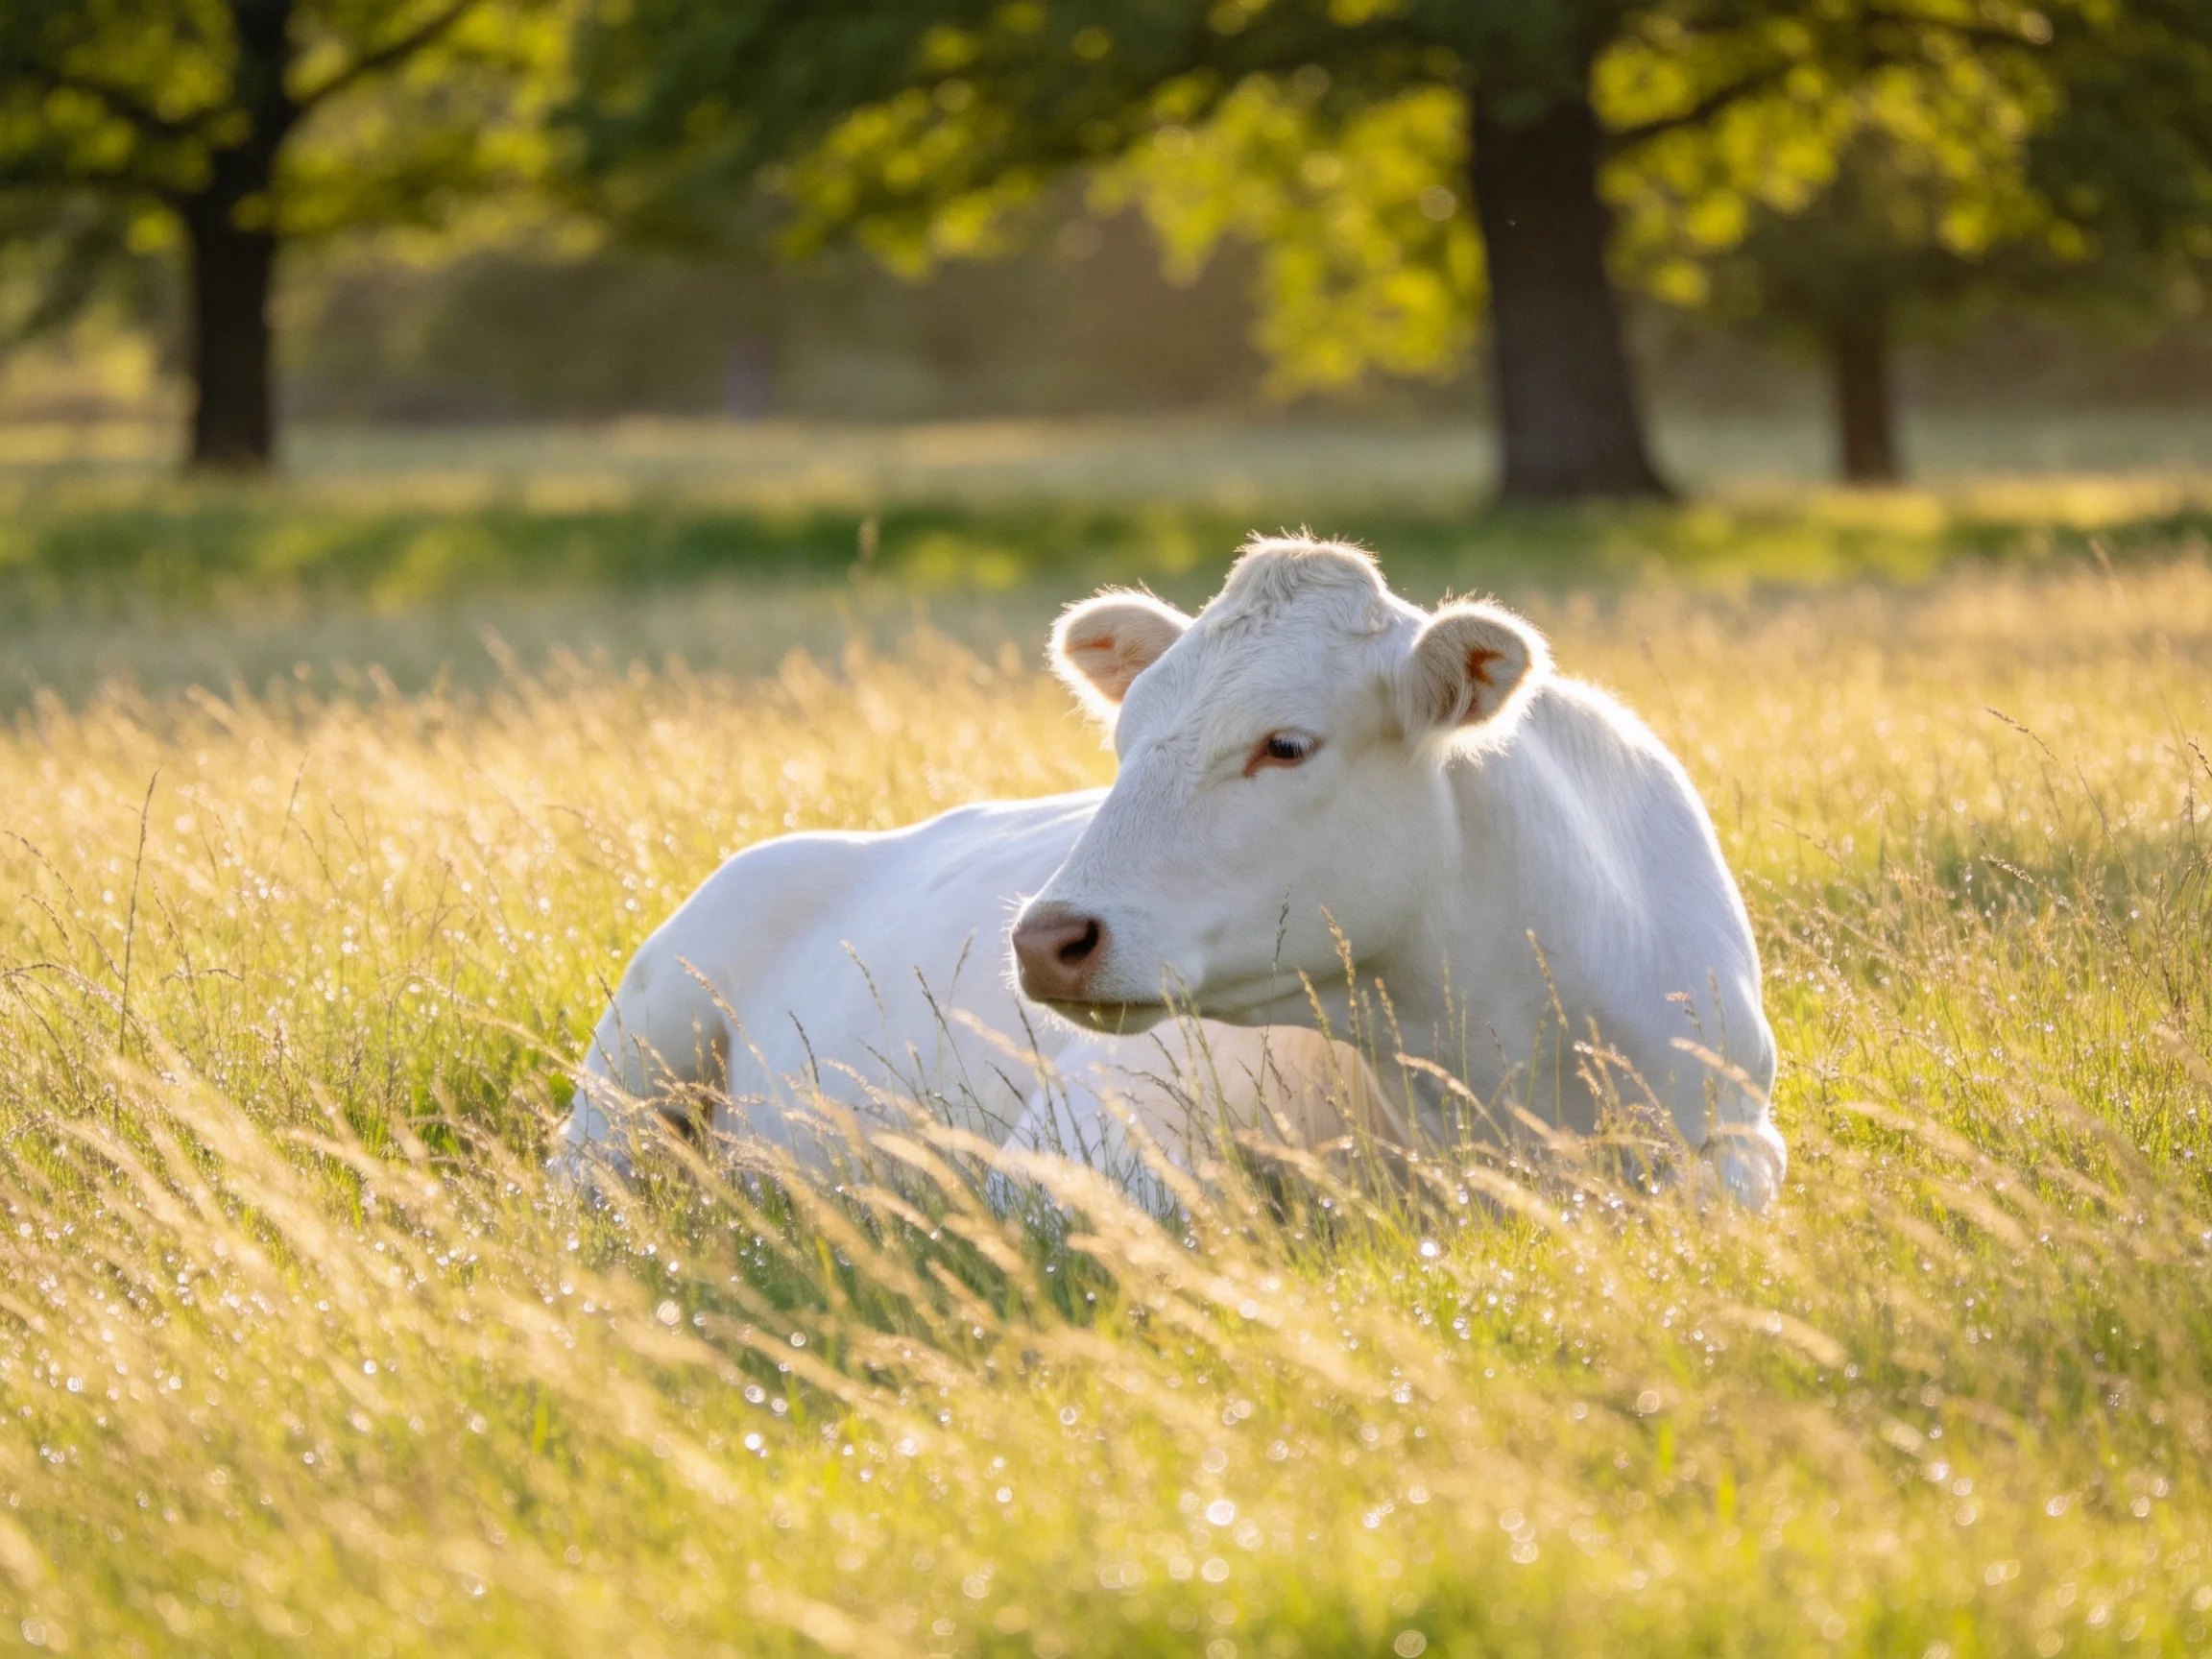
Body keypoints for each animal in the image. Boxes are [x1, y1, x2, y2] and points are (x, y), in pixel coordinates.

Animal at [560, 535, 1784, 1209]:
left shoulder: (1738, 1136)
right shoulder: (1079, 1135)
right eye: (1123, 736)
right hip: (627, 1077)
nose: (1045, 938)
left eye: (1283, 744)